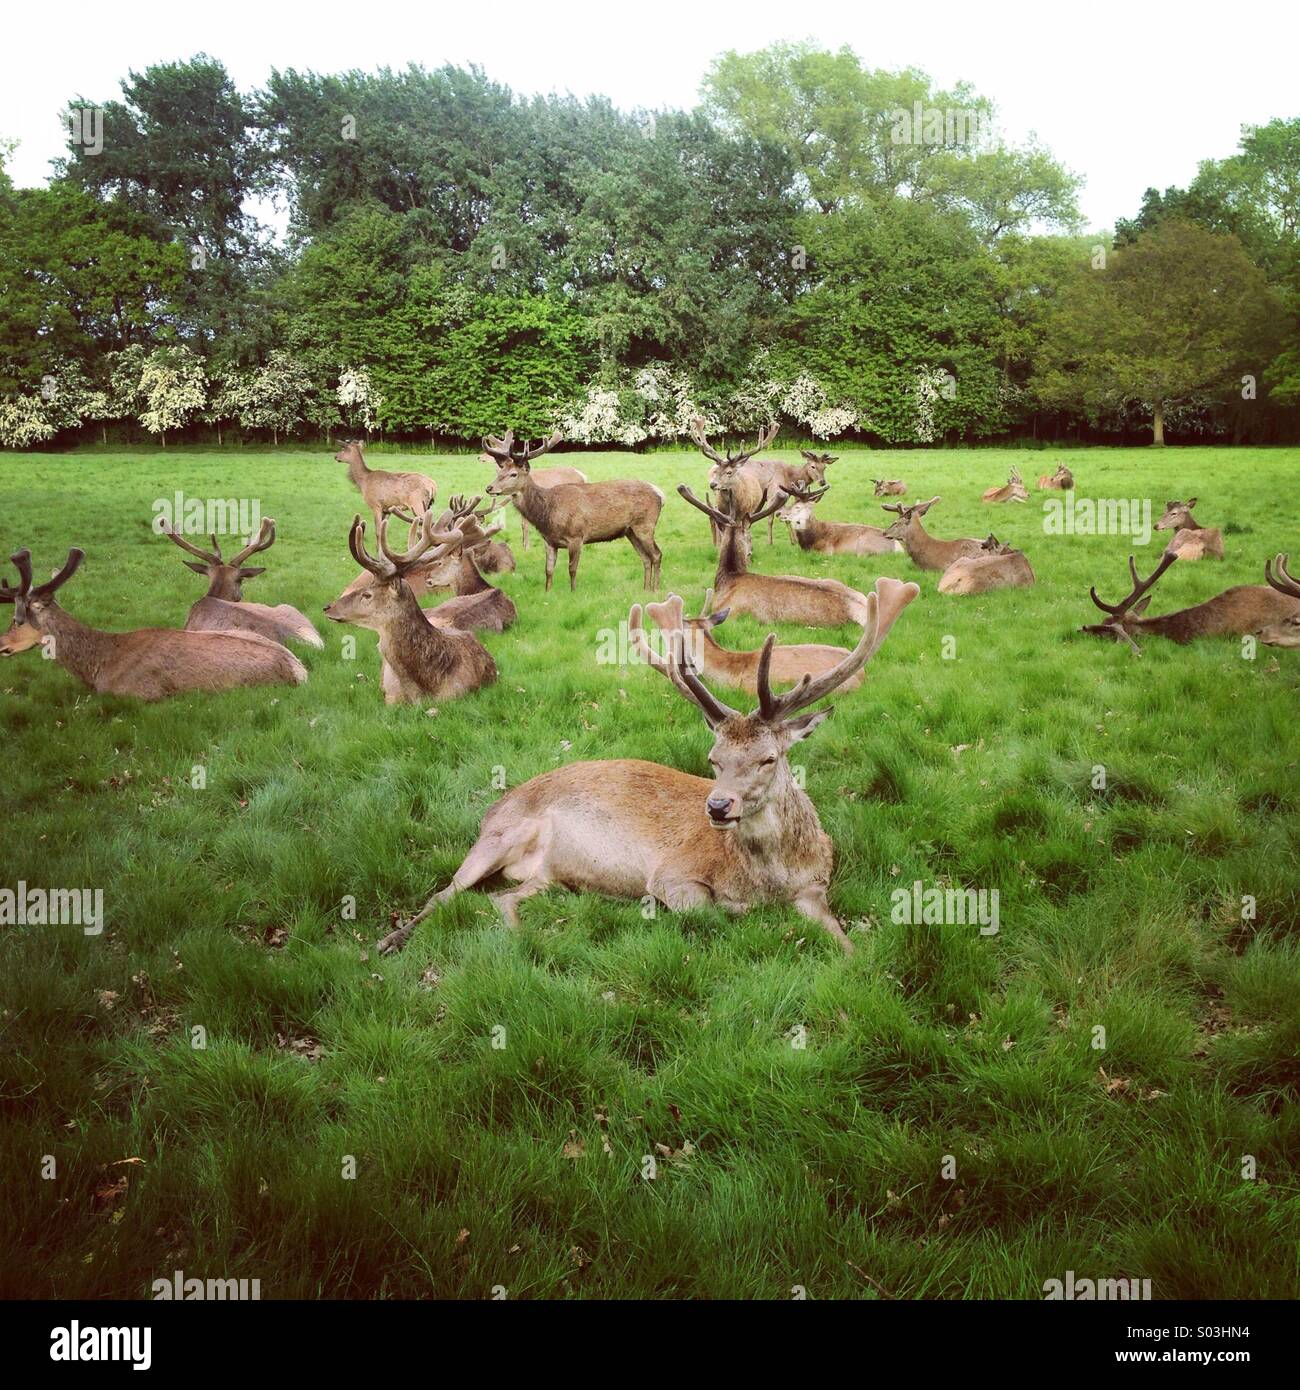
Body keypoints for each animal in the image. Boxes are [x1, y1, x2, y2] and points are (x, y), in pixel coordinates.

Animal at [483, 429, 663, 591]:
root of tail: (660, 494)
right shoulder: (549, 541)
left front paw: (573, 592)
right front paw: (548, 592)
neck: (548, 512)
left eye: (513, 474)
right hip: (630, 531)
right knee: (645, 558)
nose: (489, 488)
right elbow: (548, 570)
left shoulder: (576, 536)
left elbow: (572, 569)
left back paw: (655, 589)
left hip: (645, 525)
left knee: (656, 554)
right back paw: (645, 589)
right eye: (500, 471)